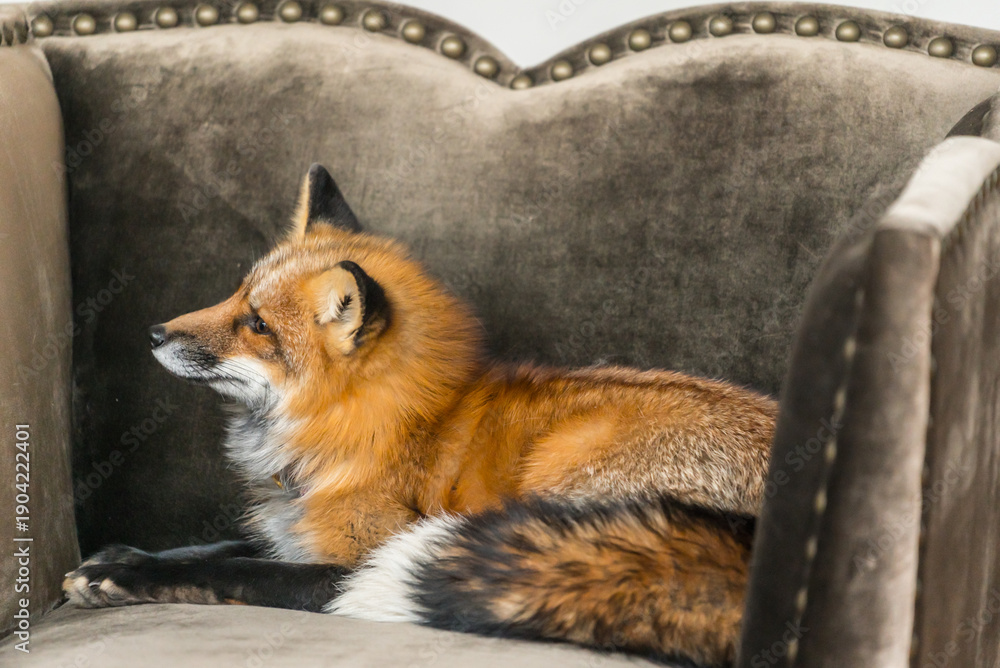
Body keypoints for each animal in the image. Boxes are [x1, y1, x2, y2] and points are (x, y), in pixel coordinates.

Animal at [63, 164, 777, 666]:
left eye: (258, 325)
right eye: (237, 295)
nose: (153, 333)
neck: (356, 431)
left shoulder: (355, 560)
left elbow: (233, 568)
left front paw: (130, 574)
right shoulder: (299, 534)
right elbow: (218, 545)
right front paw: (119, 558)